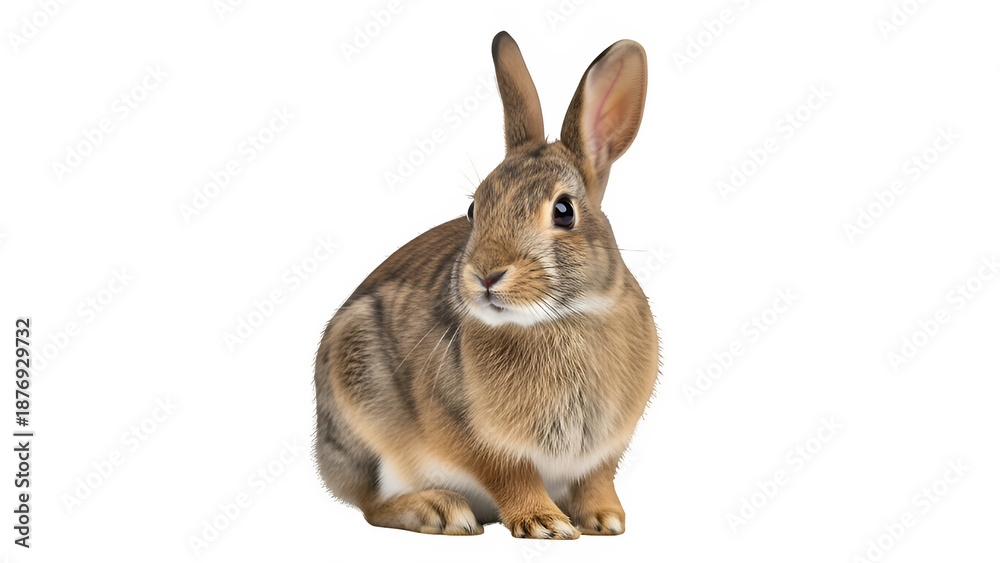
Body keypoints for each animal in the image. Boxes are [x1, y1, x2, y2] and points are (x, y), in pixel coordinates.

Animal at [314, 31, 658, 539]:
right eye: (475, 208)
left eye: (564, 211)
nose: (486, 274)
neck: (560, 319)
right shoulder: (481, 441)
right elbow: (511, 475)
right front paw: (545, 523)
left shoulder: (606, 448)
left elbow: (596, 477)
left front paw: (605, 519)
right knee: (372, 505)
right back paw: (440, 510)